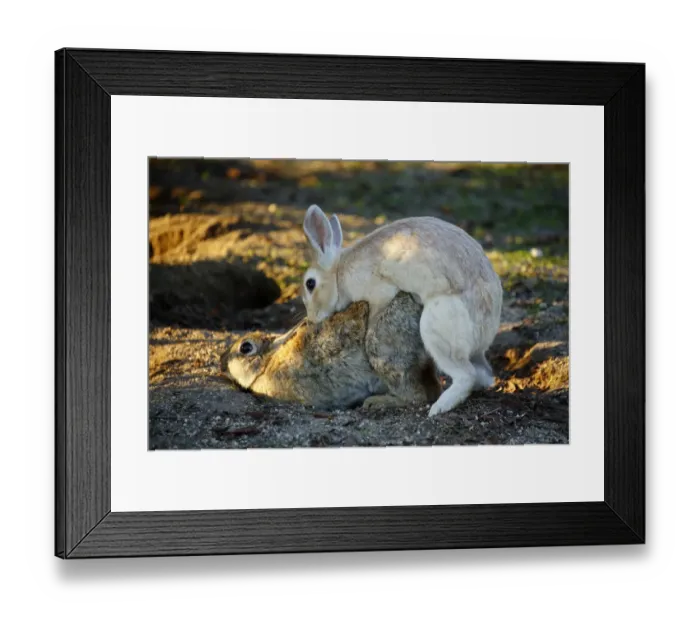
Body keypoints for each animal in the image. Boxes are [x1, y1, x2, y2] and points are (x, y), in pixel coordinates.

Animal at [220, 292, 441, 410]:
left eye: (245, 347)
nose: (221, 362)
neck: (267, 364)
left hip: (386, 351)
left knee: (415, 396)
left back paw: (377, 402)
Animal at [301, 204, 503, 416]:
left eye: (310, 284)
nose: (312, 318)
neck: (339, 275)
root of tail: (488, 327)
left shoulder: (379, 293)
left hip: (437, 328)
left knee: (466, 375)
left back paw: (439, 407)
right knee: (482, 373)